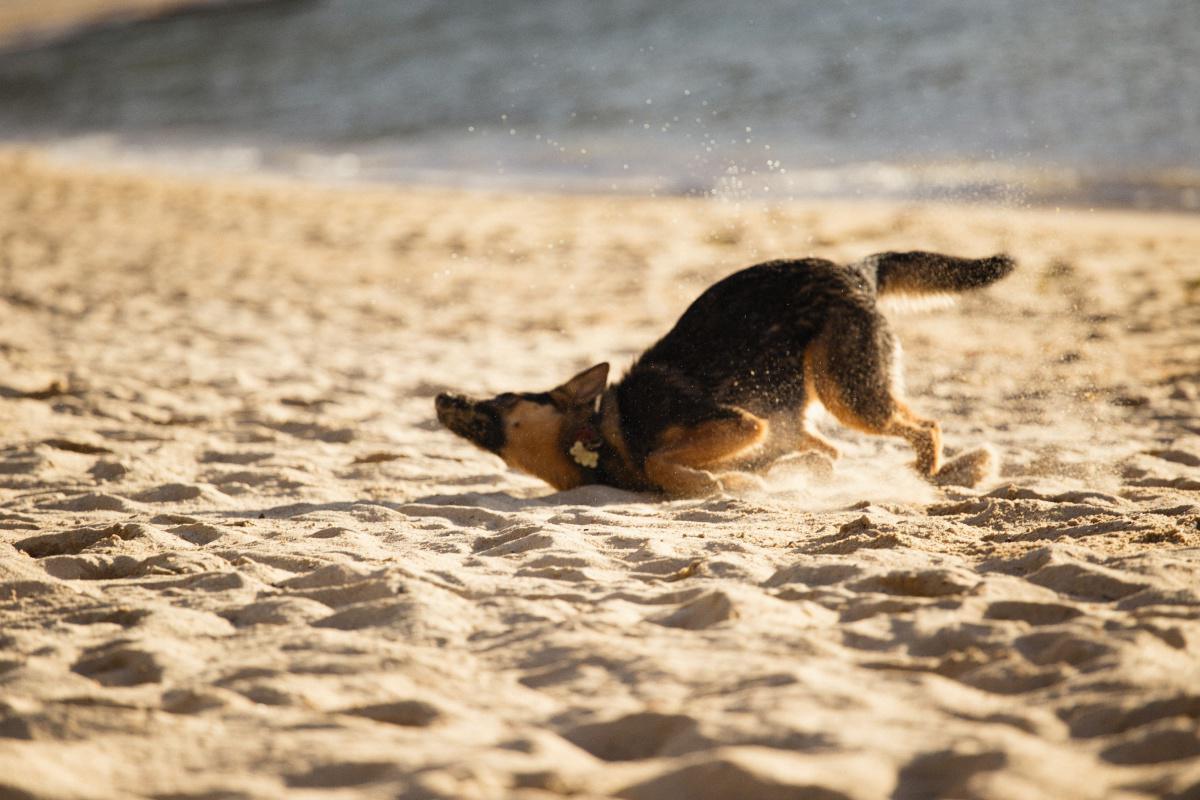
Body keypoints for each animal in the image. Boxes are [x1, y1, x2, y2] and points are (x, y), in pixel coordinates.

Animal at [432, 253, 1012, 496]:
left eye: (503, 399)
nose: (440, 396)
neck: (598, 434)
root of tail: (853, 270)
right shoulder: (773, 431)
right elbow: (810, 461)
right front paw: (740, 481)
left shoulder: (741, 423)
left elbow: (663, 460)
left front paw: (707, 480)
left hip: (847, 393)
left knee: (926, 425)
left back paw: (930, 472)